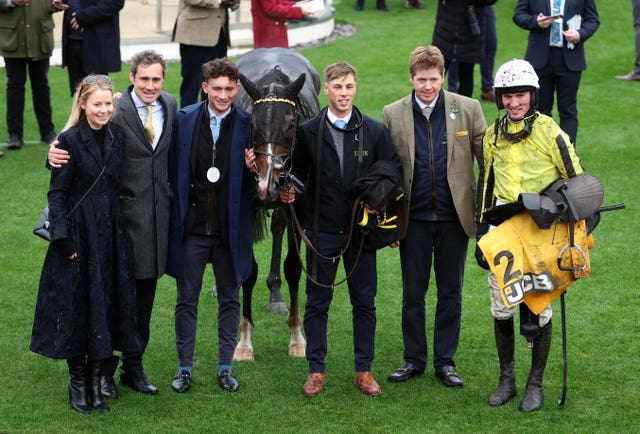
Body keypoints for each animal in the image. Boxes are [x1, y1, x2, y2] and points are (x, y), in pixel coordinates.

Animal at [234, 46, 318, 360]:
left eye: (291, 123)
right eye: (253, 122)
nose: (266, 185)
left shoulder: (296, 204)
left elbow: (293, 266)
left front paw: (296, 335)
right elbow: (248, 270)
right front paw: (244, 341)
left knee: (280, 227)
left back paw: (275, 293)